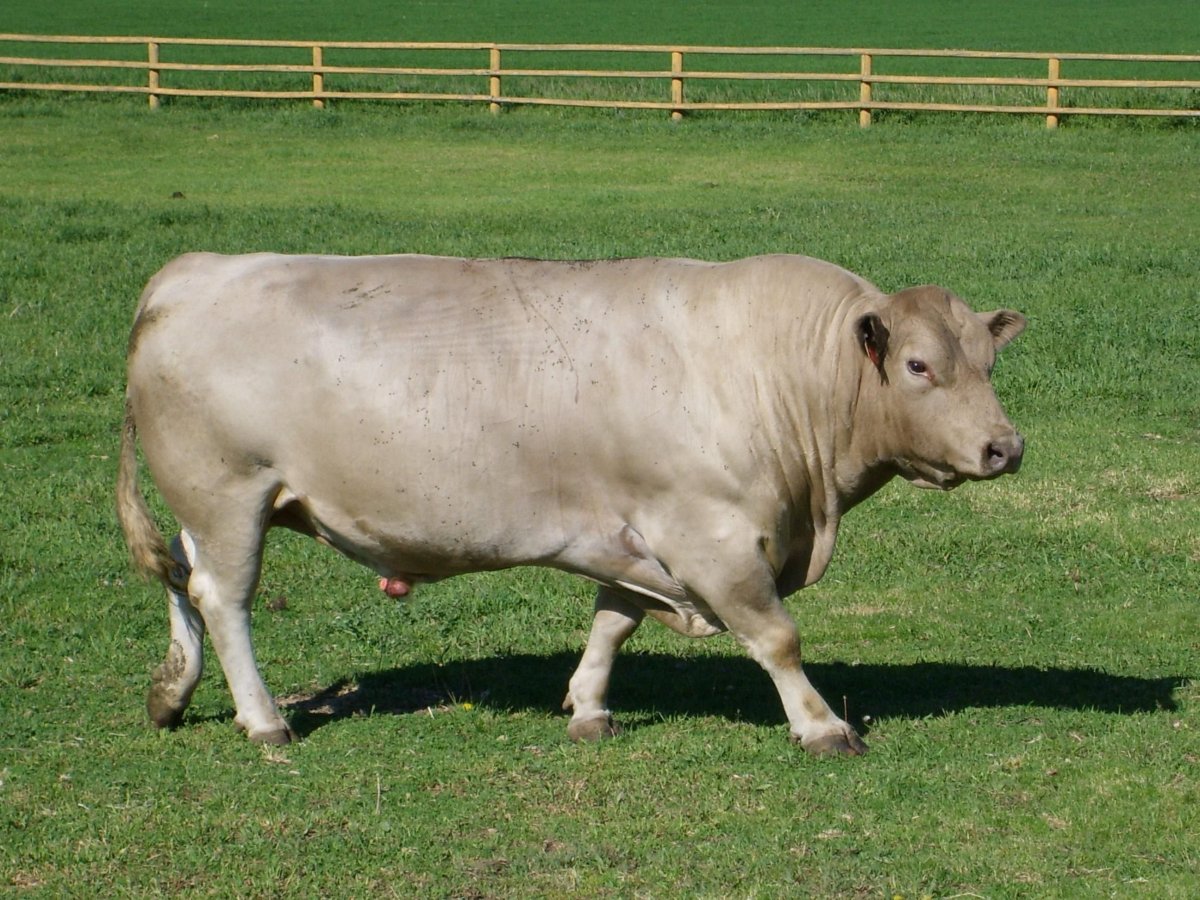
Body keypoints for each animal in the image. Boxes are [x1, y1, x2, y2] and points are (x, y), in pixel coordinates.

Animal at [117, 252, 1025, 756]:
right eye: (917, 365)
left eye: (986, 361)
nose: (1004, 447)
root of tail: (187, 272)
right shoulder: (709, 534)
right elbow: (777, 636)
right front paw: (821, 726)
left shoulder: (631, 530)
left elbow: (612, 622)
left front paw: (589, 707)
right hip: (229, 492)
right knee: (224, 598)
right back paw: (264, 719)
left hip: (210, 503)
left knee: (182, 577)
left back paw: (173, 690)